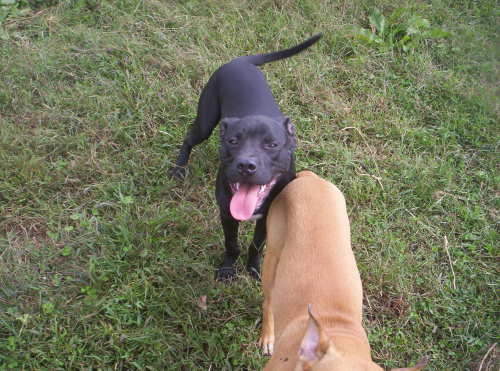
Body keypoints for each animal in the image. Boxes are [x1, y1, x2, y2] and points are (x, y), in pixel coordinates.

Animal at [170, 35, 322, 280]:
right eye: (233, 141)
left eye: (272, 144)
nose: (246, 165)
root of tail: (240, 62)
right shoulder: (227, 214)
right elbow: (231, 244)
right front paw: (227, 269)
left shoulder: (267, 219)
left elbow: (257, 245)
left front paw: (253, 269)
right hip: (205, 120)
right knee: (189, 138)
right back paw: (179, 168)